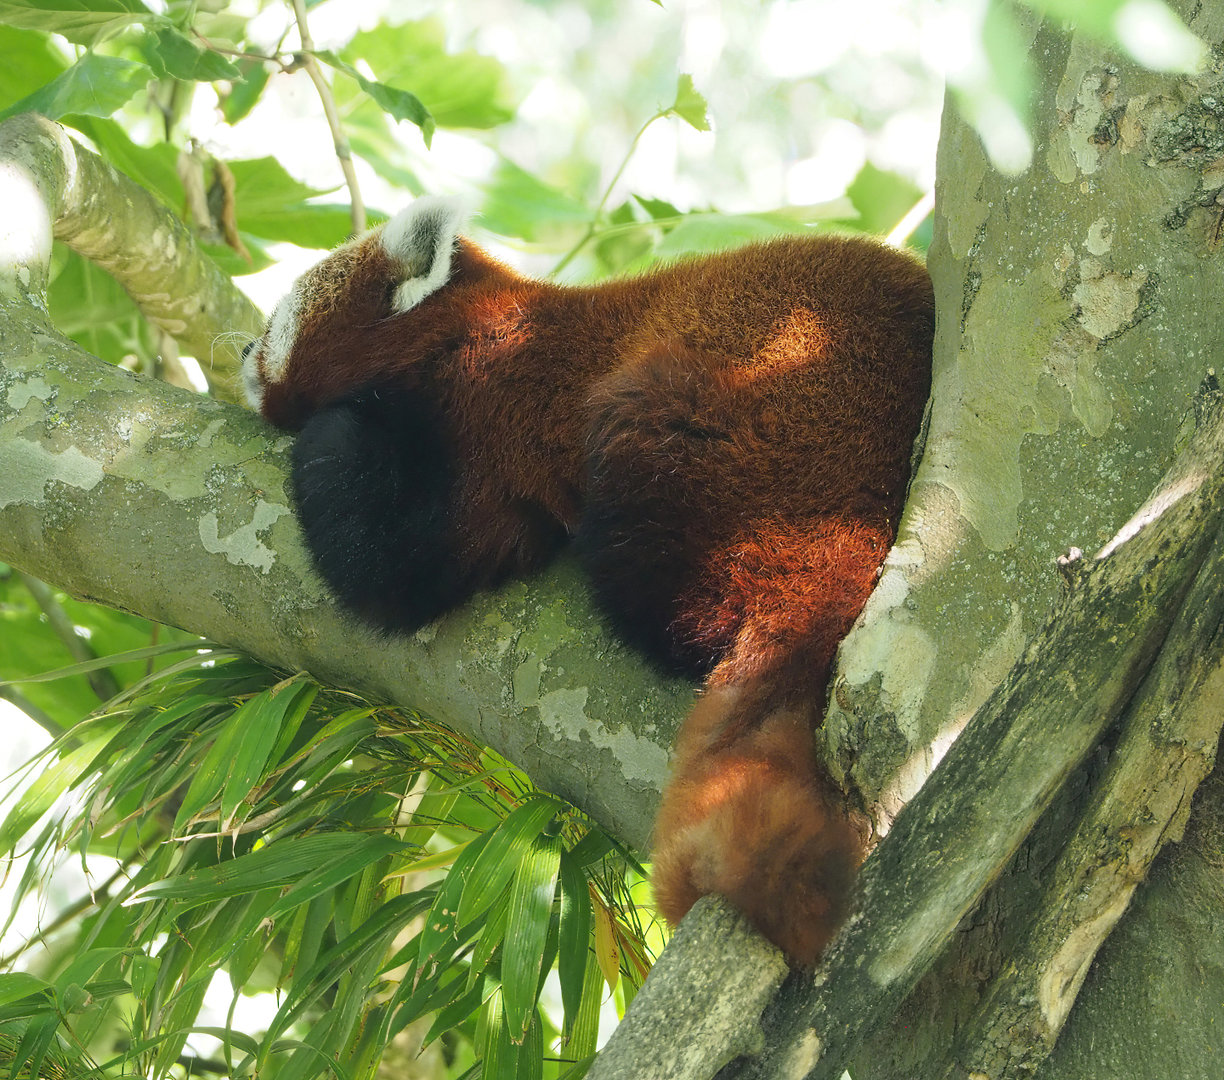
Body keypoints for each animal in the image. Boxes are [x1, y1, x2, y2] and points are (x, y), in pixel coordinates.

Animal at [242, 197, 934, 965]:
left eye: (275, 325)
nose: (240, 353)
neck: (465, 326)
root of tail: (859, 507)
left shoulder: (488, 408)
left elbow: (393, 568)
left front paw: (326, 437)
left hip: (716, 422)